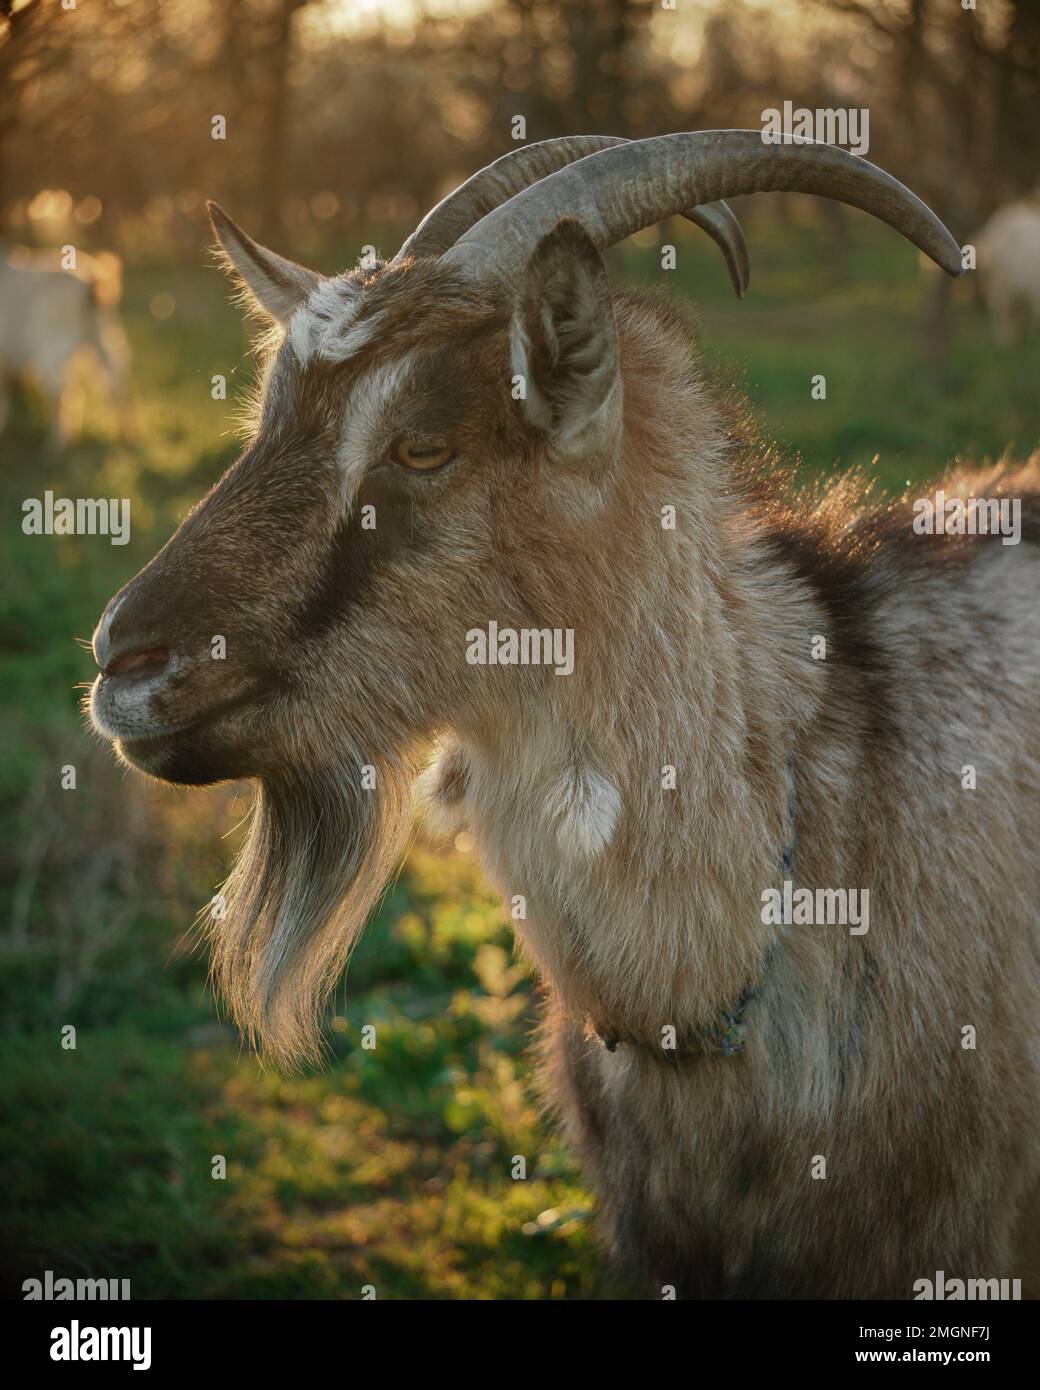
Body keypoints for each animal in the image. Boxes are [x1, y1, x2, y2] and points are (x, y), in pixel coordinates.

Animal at [0, 247, 130, 447]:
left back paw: (56, 444)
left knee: (63, 393)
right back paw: (128, 434)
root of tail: (88, 283)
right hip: (102, 337)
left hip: (50, 347)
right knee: (117, 381)